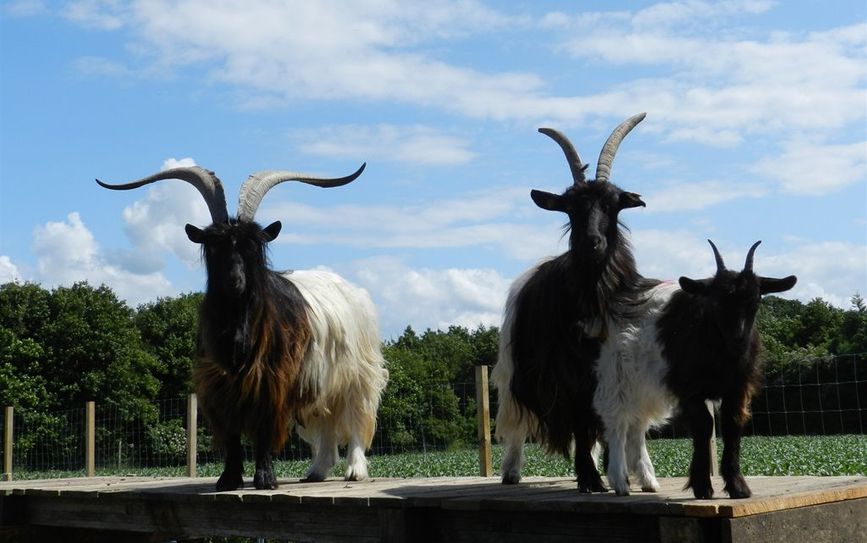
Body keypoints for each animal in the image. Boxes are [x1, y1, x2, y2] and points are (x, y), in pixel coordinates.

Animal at [97, 164, 390, 490]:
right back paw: (316, 471)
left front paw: (265, 478)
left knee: (355, 417)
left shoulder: (271, 379)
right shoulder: (221, 385)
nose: (234, 281)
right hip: (322, 380)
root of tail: (353, 290)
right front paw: (229, 478)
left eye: (253, 246)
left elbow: (265, 428)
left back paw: (355, 470)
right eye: (214, 246)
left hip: (357, 374)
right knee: (326, 419)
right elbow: (232, 434)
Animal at [488, 113, 656, 492]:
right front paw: (591, 478)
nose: (592, 242)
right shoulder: (567, 369)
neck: (592, 294)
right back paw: (511, 472)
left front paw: (631, 473)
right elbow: (581, 417)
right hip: (512, 369)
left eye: (612, 203)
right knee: (515, 421)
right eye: (570, 208)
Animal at [596, 240, 800, 500]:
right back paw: (619, 480)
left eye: (756, 300)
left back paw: (647, 479)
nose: (738, 338)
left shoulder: (737, 390)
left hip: (643, 388)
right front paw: (702, 486)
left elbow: (732, 425)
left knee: (637, 426)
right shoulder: (690, 389)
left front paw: (737, 486)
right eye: (715, 301)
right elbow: (704, 425)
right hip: (617, 377)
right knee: (617, 424)